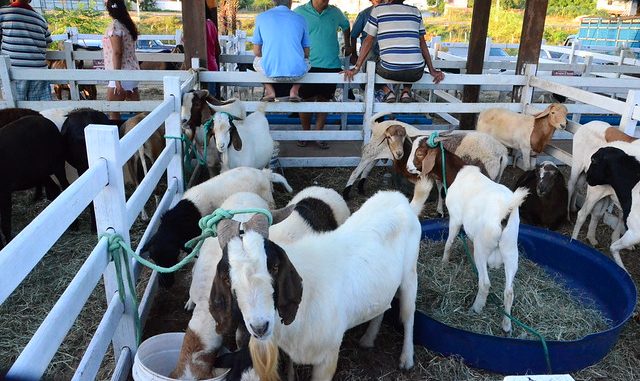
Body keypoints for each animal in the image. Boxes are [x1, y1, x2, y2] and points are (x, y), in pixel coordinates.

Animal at [0, 114, 70, 248]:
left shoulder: (4, 190)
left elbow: (5, 222)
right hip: (40, 172)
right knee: (54, 189)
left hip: (57, 164)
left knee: (65, 186)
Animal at [214, 190, 420, 380]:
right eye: (227, 278)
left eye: (274, 266)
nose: (259, 327)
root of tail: (399, 198)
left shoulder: (328, 357)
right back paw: (368, 339)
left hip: (410, 274)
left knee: (408, 314)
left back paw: (407, 359)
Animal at [408, 144, 528, 332]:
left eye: (420, 152)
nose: (408, 167)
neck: (457, 173)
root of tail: (505, 211)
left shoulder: (456, 218)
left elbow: (449, 242)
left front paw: (444, 262)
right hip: (510, 249)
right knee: (509, 291)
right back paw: (506, 325)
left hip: (484, 247)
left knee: (485, 284)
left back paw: (476, 309)